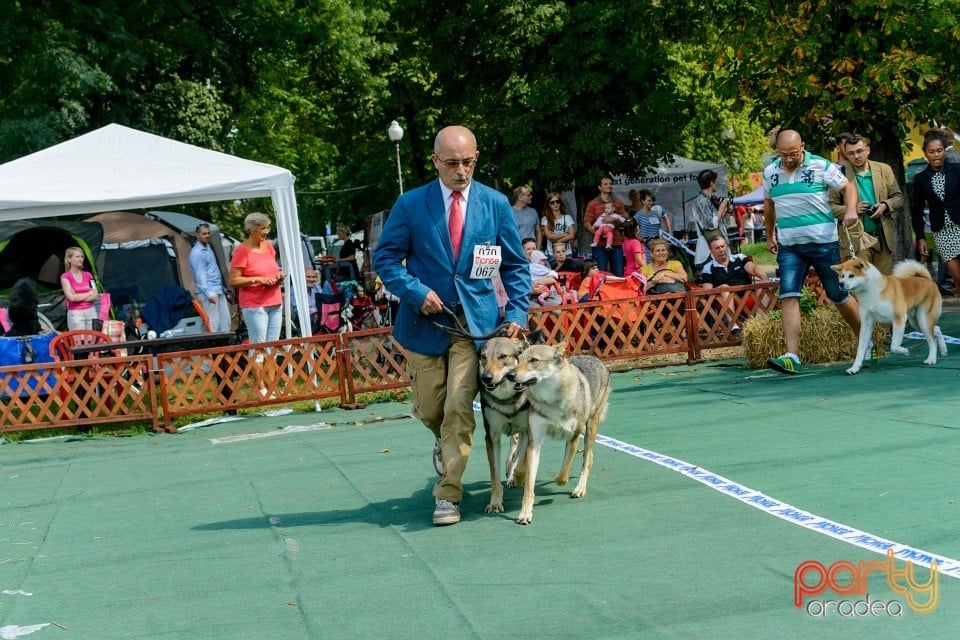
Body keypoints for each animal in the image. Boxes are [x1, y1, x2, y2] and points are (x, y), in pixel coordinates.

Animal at [480, 336, 532, 516]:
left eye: (503, 357)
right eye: (483, 357)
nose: (486, 377)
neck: (507, 399)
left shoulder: (527, 431)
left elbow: (521, 462)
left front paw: (518, 477)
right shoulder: (492, 437)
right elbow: (495, 475)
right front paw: (495, 503)